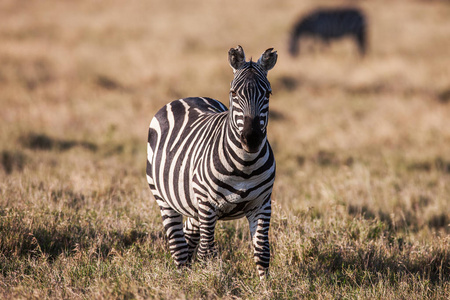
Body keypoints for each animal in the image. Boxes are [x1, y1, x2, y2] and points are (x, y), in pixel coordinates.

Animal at [146, 45, 278, 280]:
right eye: (234, 93)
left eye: (268, 93)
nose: (251, 139)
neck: (245, 165)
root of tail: (187, 97)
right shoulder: (207, 204)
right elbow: (206, 252)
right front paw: (208, 282)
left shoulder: (262, 203)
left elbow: (262, 251)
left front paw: (266, 286)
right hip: (165, 198)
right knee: (178, 246)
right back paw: (181, 281)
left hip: (192, 202)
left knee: (188, 235)